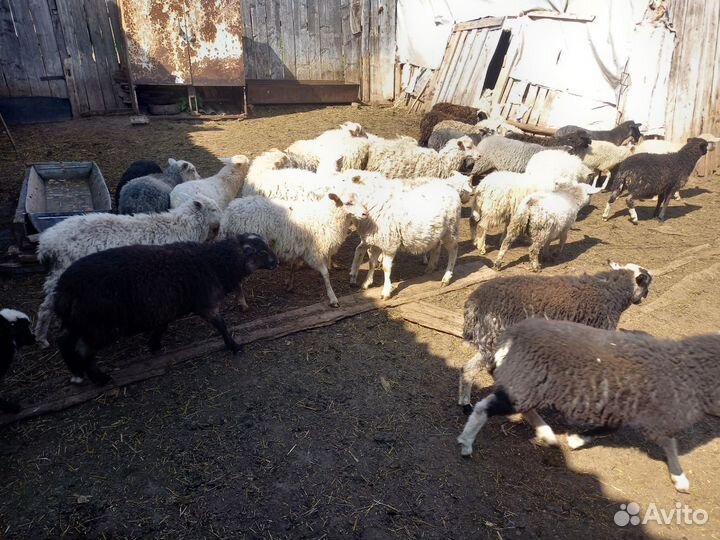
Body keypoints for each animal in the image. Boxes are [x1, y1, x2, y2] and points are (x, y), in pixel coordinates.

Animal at [35, 196, 223, 347]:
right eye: (213, 209)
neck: (182, 227)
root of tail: (46, 243)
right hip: (64, 276)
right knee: (46, 307)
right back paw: (43, 339)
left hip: (58, 276)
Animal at [53, 235, 278, 386]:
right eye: (261, 252)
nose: (276, 262)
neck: (215, 263)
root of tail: (65, 286)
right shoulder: (206, 303)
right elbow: (221, 325)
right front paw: (234, 346)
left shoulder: (165, 308)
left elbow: (162, 327)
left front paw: (154, 345)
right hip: (101, 324)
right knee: (83, 350)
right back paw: (100, 378)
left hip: (78, 320)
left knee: (63, 339)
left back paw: (76, 374)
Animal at [219, 193, 367, 308]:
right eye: (348, 203)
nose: (365, 213)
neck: (327, 217)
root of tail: (228, 215)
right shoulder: (314, 251)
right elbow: (325, 274)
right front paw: (333, 298)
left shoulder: (300, 247)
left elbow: (294, 266)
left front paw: (289, 285)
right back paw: (242, 302)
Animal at [457, 318, 719, 493]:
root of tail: (513, 336)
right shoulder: (655, 416)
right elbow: (669, 443)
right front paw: (680, 477)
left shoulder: (622, 409)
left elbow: (610, 429)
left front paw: (577, 438)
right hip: (526, 384)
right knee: (484, 407)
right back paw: (467, 442)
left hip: (529, 385)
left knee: (525, 409)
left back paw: (547, 434)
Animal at [458, 261, 652, 409]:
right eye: (647, 284)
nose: (643, 298)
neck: (612, 292)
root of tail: (473, 303)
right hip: (494, 339)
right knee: (475, 369)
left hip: (488, 340)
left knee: (468, 368)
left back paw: (465, 403)